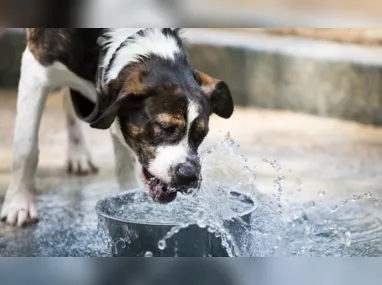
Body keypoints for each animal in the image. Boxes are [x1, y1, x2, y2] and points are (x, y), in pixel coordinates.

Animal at [0, 27, 234, 225]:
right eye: (165, 127)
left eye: (201, 134)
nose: (189, 176)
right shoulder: (36, 67)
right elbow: (26, 149)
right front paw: (18, 203)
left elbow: (124, 162)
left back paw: (78, 153)